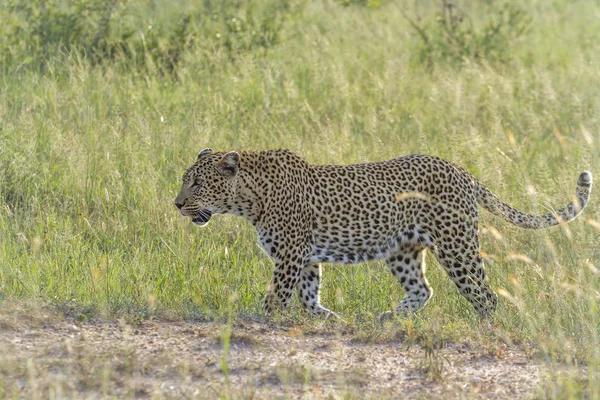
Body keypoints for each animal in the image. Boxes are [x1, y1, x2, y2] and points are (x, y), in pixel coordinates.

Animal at [172, 148, 592, 320]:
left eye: (196, 184)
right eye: (185, 181)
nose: (177, 204)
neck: (248, 199)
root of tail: (464, 173)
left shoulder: (290, 255)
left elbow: (277, 295)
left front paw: (262, 321)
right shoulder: (305, 257)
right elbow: (308, 295)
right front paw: (329, 319)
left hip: (456, 246)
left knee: (485, 295)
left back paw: (484, 327)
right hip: (402, 250)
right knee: (423, 289)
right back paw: (389, 318)